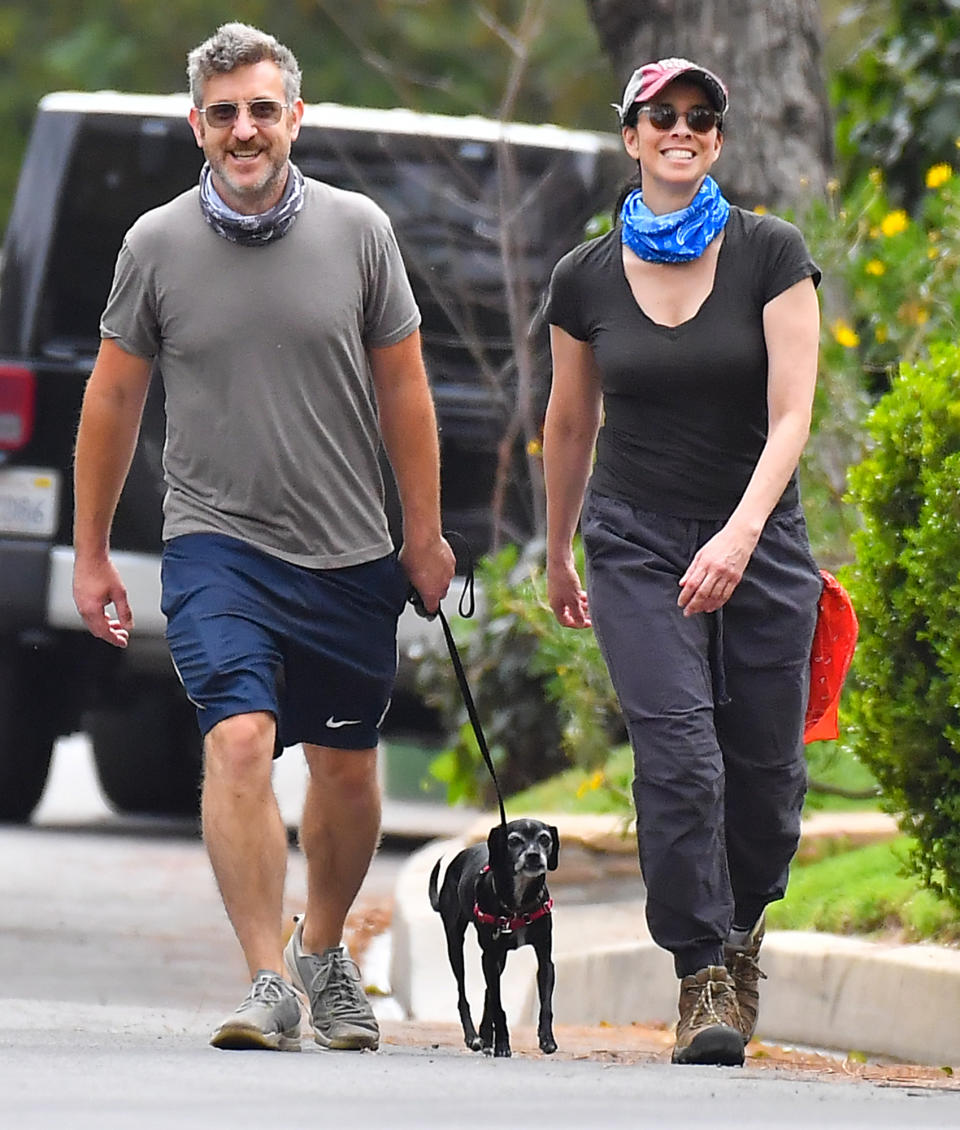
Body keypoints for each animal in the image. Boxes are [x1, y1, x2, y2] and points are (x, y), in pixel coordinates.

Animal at [429, 818, 560, 1053]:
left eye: (545, 839)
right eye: (514, 841)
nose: (533, 855)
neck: (518, 905)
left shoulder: (544, 958)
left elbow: (545, 1004)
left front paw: (547, 1038)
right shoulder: (489, 956)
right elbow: (498, 1006)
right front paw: (502, 1044)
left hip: (499, 958)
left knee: (488, 993)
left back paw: (485, 1034)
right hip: (456, 947)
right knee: (463, 995)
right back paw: (473, 1037)